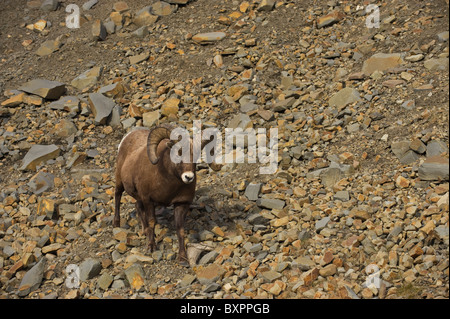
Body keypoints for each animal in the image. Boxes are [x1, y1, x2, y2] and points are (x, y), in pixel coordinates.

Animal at [112, 124, 218, 266]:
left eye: (196, 155)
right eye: (178, 153)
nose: (188, 177)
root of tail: (127, 137)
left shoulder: (181, 204)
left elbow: (180, 229)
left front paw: (182, 257)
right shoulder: (148, 200)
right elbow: (152, 222)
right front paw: (151, 247)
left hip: (139, 197)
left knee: (137, 206)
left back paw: (144, 231)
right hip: (119, 182)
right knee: (117, 196)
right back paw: (116, 223)